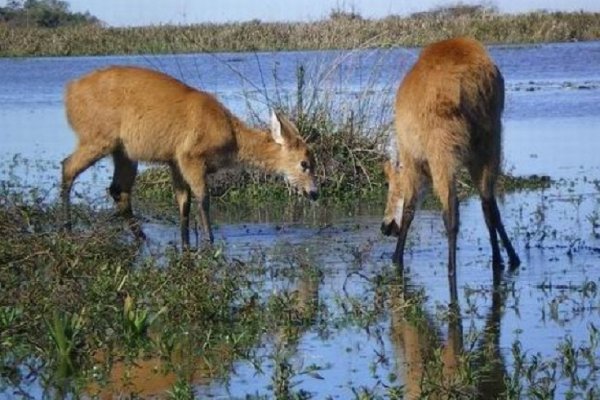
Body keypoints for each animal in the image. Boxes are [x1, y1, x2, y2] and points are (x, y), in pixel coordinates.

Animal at [62, 66, 318, 247]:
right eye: (304, 163)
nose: (314, 193)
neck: (232, 136)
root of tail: (70, 91)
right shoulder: (191, 158)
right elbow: (203, 199)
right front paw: (209, 240)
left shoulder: (175, 162)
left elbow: (183, 203)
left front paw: (185, 243)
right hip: (98, 140)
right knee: (67, 168)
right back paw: (67, 229)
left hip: (123, 152)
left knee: (118, 190)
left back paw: (143, 238)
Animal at [384, 36, 520, 282]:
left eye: (389, 183)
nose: (385, 226)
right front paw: (512, 256)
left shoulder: (411, 158)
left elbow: (409, 209)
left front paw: (396, 258)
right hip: (489, 143)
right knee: (488, 204)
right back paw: (500, 259)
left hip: (443, 152)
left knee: (451, 214)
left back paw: (451, 269)